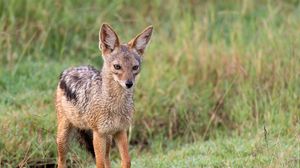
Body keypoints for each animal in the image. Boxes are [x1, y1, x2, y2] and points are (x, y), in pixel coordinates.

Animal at [54, 23, 152, 168]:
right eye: (117, 66)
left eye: (135, 67)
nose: (129, 84)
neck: (116, 105)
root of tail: (69, 70)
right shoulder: (98, 134)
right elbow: (99, 163)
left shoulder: (120, 131)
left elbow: (126, 161)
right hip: (64, 137)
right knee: (61, 160)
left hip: (108, 139)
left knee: (107, 159)